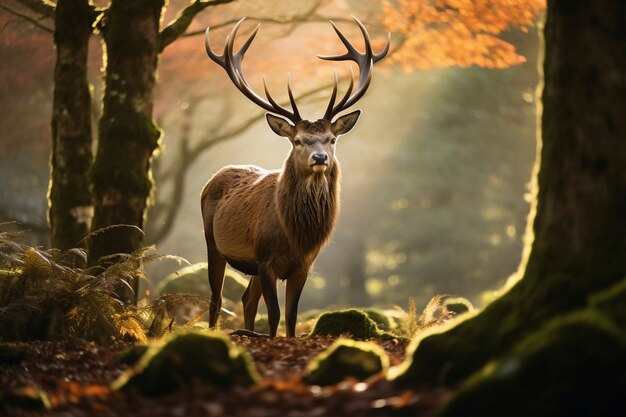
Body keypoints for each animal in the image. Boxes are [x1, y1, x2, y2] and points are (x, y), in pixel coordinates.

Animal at [200, 16, 388, 336]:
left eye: (331, 139)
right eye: (298, 140)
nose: (320, 158)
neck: (296, 236)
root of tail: (213, 178)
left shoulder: (303, 266)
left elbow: (291, 316)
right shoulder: (266, 260)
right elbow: (275, 314)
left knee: (246, 299)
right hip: (214, 244)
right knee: (216, 299)